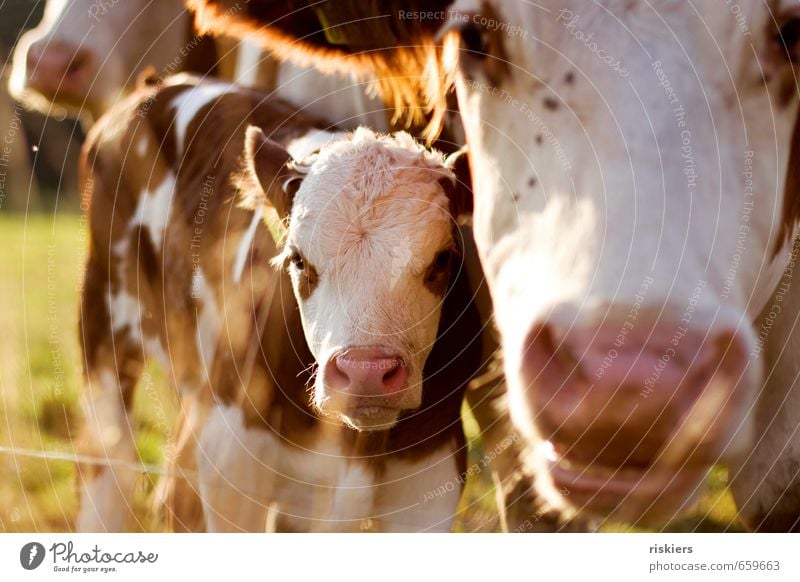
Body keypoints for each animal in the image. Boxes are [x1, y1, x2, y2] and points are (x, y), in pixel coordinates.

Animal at [79, 75, 482, 536]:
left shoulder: (430, 474)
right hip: (106, 311)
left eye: (443, 258)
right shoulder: (230, 458)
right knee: (107, 462)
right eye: (298, 259)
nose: (365, 372)